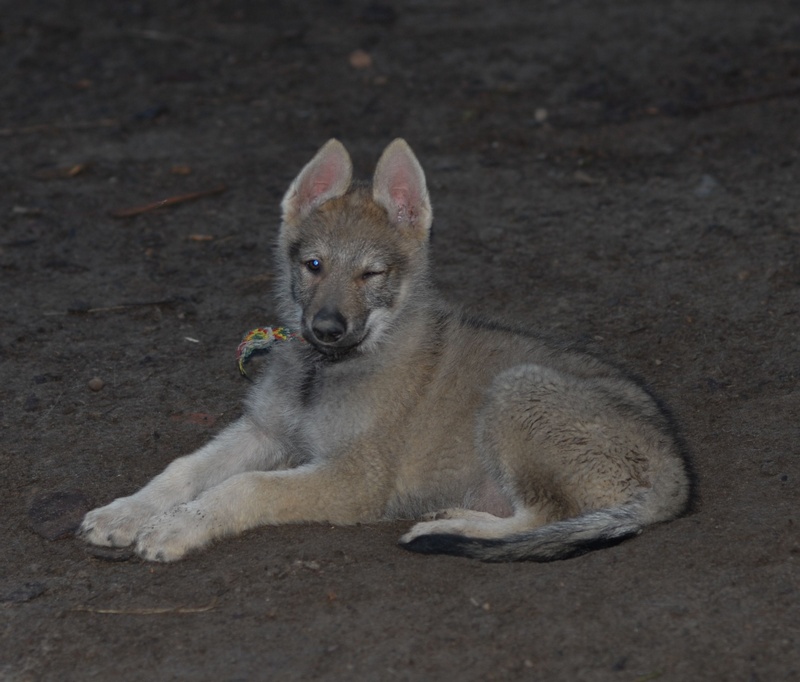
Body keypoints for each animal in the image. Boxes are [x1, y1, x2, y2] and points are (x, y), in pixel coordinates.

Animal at [79, 138, 690, 563]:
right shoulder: (264, 432)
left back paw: (442, 528)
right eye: (314, 265)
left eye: (371, 274)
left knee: (543, 517)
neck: (324, 372)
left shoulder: (354, 478)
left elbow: (244, 486)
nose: (326, 328)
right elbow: (183, 469)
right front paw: (125, 512)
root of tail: (678, 474)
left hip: (518, 388)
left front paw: (178, 527)